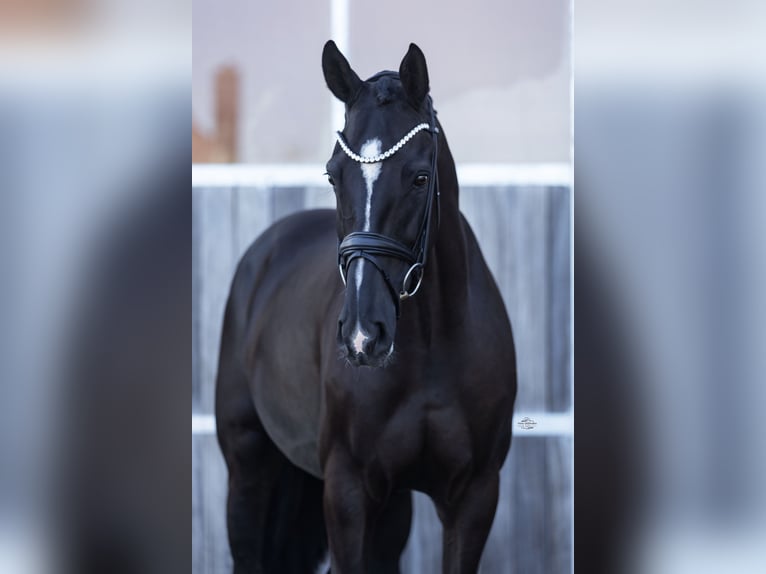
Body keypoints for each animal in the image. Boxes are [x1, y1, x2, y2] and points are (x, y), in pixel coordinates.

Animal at [215, 41, 517, 574]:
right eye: (333, 176)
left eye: (420, 178)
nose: (362, 336)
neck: (431, 350)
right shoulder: (347, 492)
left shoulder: (474, 497)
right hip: (247, 464)